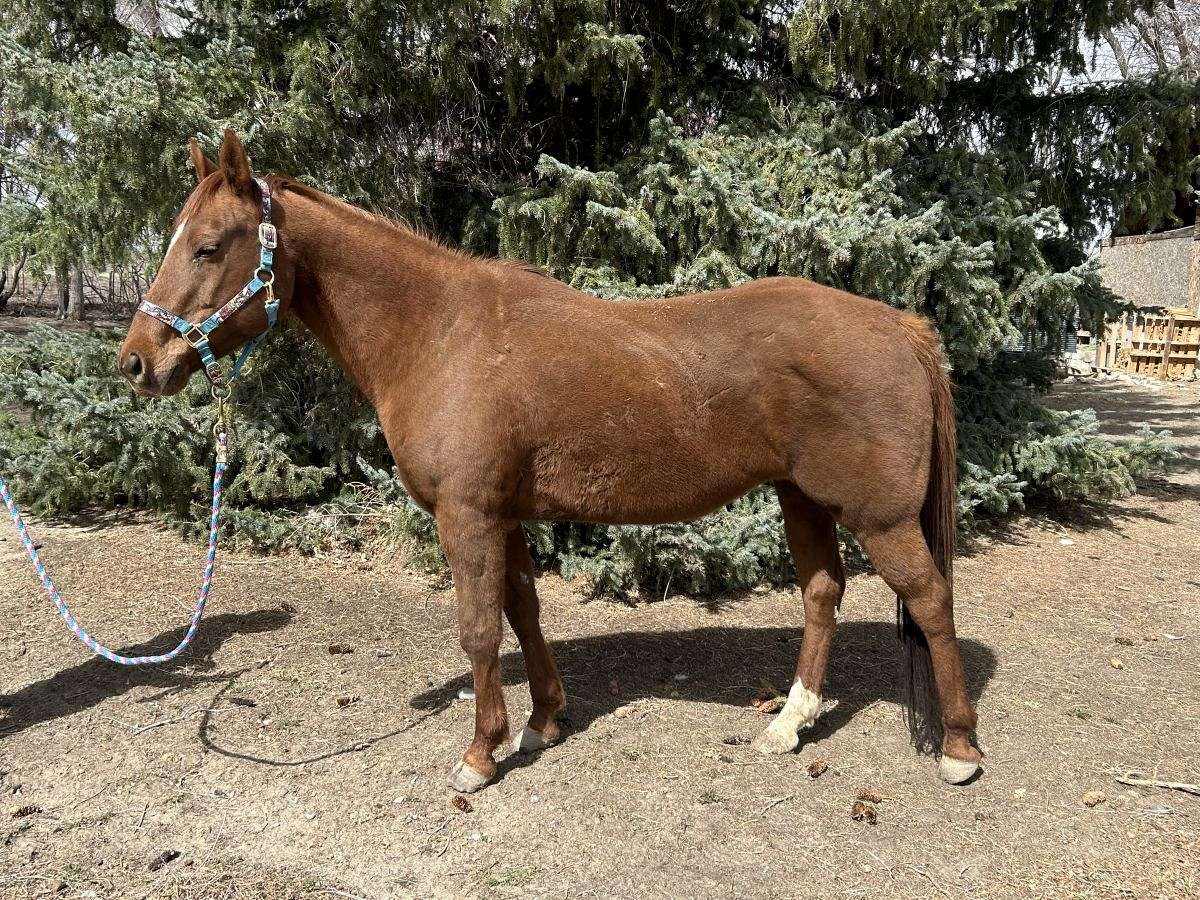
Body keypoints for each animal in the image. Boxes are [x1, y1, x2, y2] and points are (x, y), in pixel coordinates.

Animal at [119, 129, 981, 793]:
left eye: (207, 247)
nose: (137, 363)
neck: (439, 333)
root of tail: (902, 326)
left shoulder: (466, 515)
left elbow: (476, 629)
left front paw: (479, 754)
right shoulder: (505, 516)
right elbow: (523, 612)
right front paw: (542, 722)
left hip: (880, 516)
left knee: (930, 600)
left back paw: (960, 748)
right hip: (800, 497)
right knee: (822, 592)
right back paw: (791, 724)